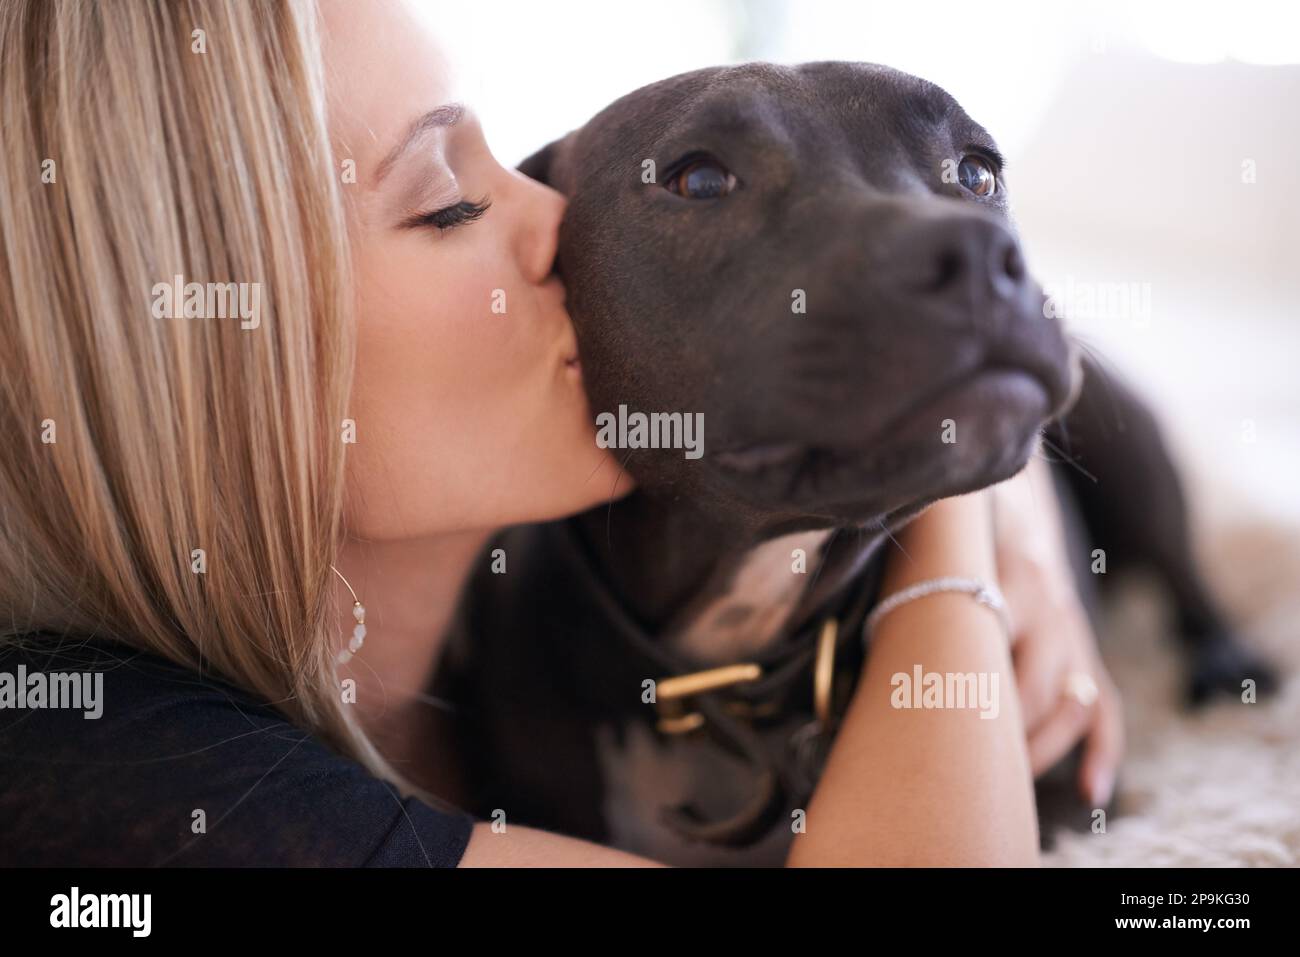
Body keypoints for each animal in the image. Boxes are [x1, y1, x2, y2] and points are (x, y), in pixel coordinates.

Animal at [441, 61, 1274, 868]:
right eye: (699, 180)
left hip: (1130, 440)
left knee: (1183, 567)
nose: (978, 252)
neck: (729, 658)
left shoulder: (1078, 803)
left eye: (977, 172)